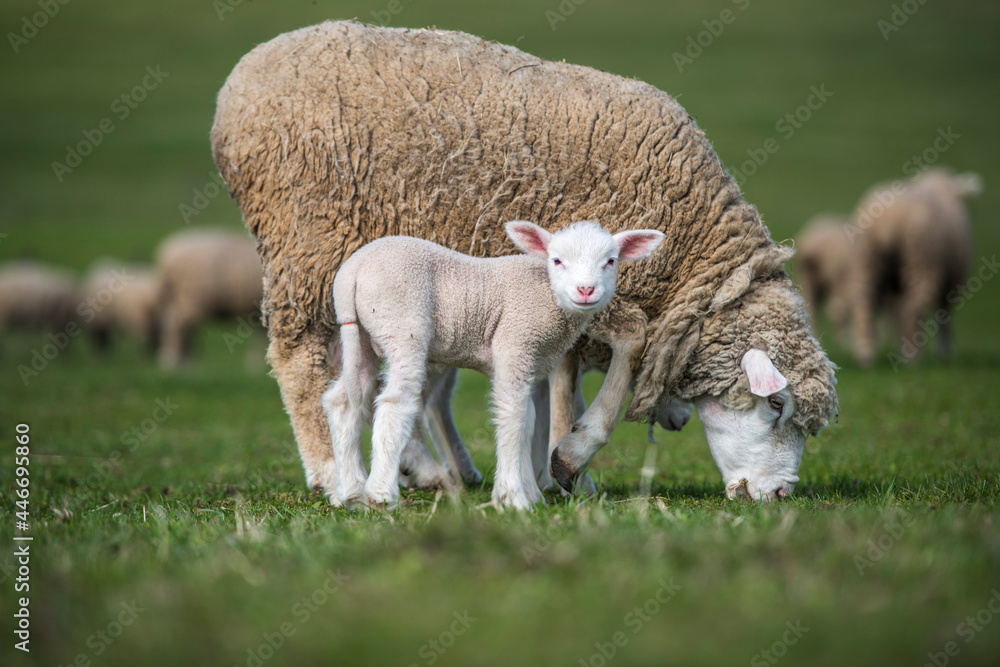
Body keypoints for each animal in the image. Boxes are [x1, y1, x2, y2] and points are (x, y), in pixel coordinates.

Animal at [155, 228, 263, 367]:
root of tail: (167, 255)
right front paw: (256, 363)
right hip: (191, 295)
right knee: (179, 324)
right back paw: (179, 360)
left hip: (176, 295)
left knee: (172, 321)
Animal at [321, 221, 664, 509]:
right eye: (557, 261)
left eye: (611, 261)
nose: (586, 290)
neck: (546, 293)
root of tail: (352, 271)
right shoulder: (514, 345)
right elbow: (513, 418)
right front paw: (514, 499)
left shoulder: (531, 361)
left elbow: (529, 420)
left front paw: (528, 493)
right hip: (403, 325)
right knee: (396, 402)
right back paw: (381, 494)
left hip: (363, 335)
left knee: (344, 401)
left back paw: (350, 493)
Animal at [841, 168, 978, 366]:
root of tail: (888, 222)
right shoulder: (952, 283)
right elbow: (944, 316)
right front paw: (944, 353)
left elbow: (896, 316)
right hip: (921, 262)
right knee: (911, 310)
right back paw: (913, 359)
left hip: (865, 262)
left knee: (863, 304)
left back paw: (866, 356)